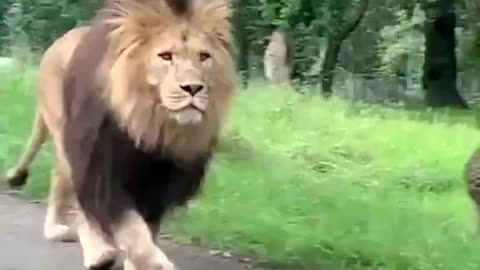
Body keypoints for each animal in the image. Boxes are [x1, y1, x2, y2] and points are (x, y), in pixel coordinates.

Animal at [2, 0, 235, 268]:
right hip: (68, 137)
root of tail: (56, 43)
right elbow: (131, 230)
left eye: (203, 57)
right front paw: (153, 263)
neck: (152, 125)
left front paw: (136, 263)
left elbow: (147, 229)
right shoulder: (102, 169)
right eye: (166, 56)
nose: (194, 88)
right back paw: (89, 248)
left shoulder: (158, 182)